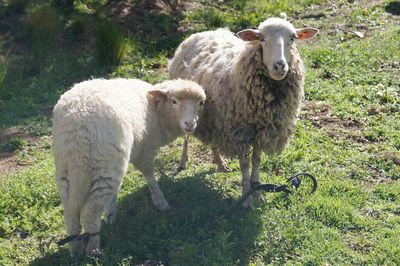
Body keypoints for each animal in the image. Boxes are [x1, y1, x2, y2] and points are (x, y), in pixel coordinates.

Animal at [53, 78, 206, 256]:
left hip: (68, 167)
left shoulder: (121, 160)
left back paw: (75, 248)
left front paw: (111, 214)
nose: (190, 124)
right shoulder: (145, 150)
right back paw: (93, 248)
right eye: (174, 101)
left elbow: (113, 194)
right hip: (104, 163)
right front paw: (160, 201)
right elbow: (149, 175)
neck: (156, 108)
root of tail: (78, 125)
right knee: (91, 212)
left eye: (201, 103)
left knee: (71, 212)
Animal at [167, 17, 318, 208]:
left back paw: (221, 164)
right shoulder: (239, 133)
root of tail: (203, 32)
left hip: (215, 118)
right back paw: (183, 161)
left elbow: (256, 161)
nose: (279, 66)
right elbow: (245, 164)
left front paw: (257, 191)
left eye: (293, 38)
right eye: (261, 38)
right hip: (189, 105)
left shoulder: (262, 132)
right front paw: (246, 196)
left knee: (214, 140)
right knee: (186, 136)